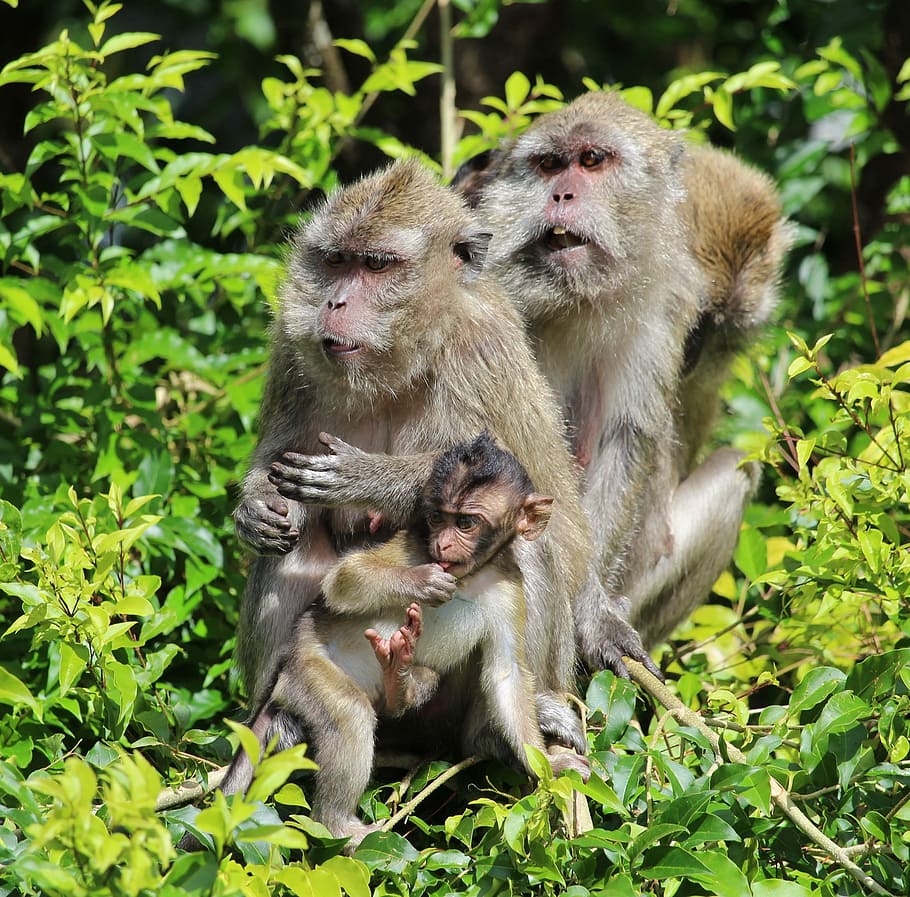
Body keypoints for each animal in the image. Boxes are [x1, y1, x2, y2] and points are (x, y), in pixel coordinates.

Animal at [216, 432, 590, 848]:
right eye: (436, 518)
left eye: (465, 522)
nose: (442, 546)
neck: (470, 575)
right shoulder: (413, 544)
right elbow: (344, 579)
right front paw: (424, 582)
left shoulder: (509, 589)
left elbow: (505, 675)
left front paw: (548, 763)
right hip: (309, 670)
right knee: (349, 713)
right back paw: (338, 826)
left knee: (426, 681)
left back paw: (402, 681)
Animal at [450, 90, 789, 656]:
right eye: (549, 164)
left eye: (592, 160)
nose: (561, 194)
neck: (571, 300)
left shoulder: (661, 306)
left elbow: (624, 437)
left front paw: (590, 612)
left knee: (734, 471)